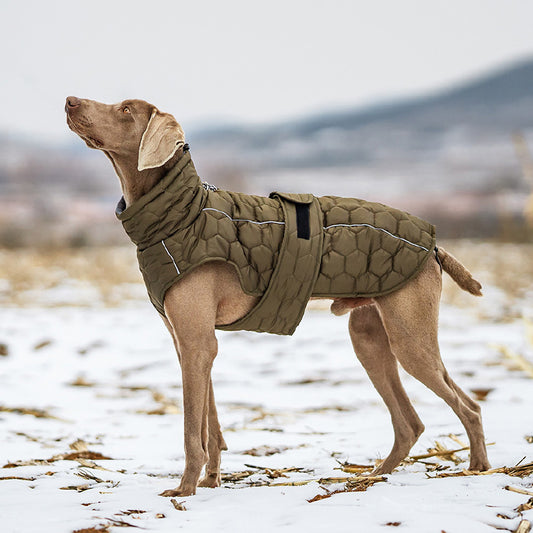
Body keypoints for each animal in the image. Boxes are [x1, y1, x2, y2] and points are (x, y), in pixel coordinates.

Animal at [64, 94, 488, 494]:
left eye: (125, 109)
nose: (69, 101)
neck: (182, 214)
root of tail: (434, 246)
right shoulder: (189, 343)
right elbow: (209, 425)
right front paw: (210, 481)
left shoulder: (196, 342)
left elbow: (190, 430)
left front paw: (184, 490)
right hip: (369, 337)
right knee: (410, 423)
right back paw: (372, 476)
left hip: (409, 338)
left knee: (469, 407)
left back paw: (478, 468)